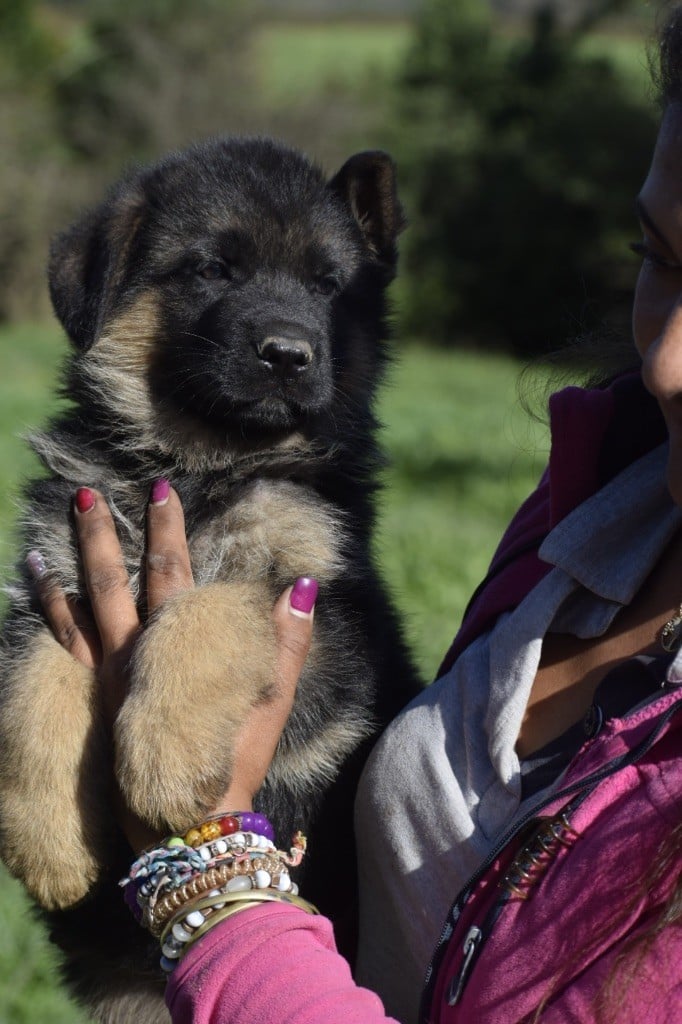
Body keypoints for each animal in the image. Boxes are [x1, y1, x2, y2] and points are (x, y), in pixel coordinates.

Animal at [0, 137, 420, 1022]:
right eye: (212, 270)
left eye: (328, 285)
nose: (289, 353)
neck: (200, 467)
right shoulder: (54, 576)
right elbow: (33, 685)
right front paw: (47, 837)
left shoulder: (324, 627)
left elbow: (212, 603)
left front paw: (162, 753)